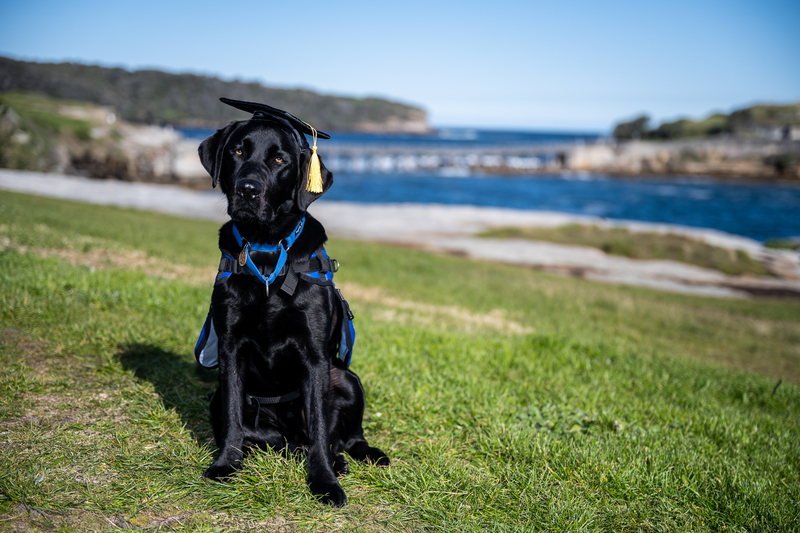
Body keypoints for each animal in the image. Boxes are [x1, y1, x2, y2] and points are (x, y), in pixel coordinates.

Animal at [198, 97, 390, 504]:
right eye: (238, 151)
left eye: (279, 159)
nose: (248, 189)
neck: (267, 251)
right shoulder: (230, 349)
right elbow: (234, 418)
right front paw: (226, 463)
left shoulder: (315, 357)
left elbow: (318, 426)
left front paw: (324, 481)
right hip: (220, 397)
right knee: (273, 434)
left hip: (346, 378)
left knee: (345, 437)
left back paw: (353, 456)